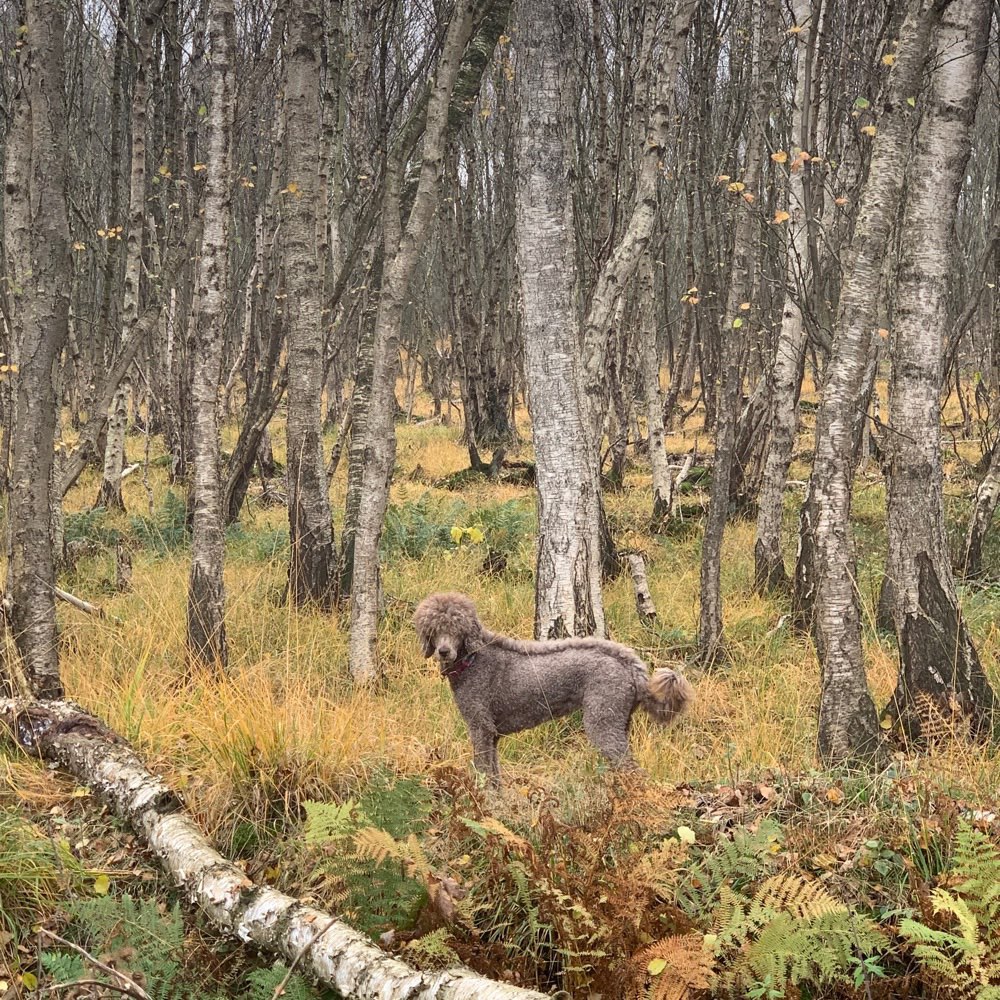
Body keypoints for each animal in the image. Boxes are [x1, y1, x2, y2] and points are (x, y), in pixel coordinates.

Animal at [412, 588, 688, 784]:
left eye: (456, 628)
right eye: (434, 629)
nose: (444, 651)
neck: (473, 658)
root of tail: (630, 664)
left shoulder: (480, 728)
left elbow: (484, 773)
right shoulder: (493, 735)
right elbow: (494, 775)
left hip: (602, 721)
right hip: (620, 722)